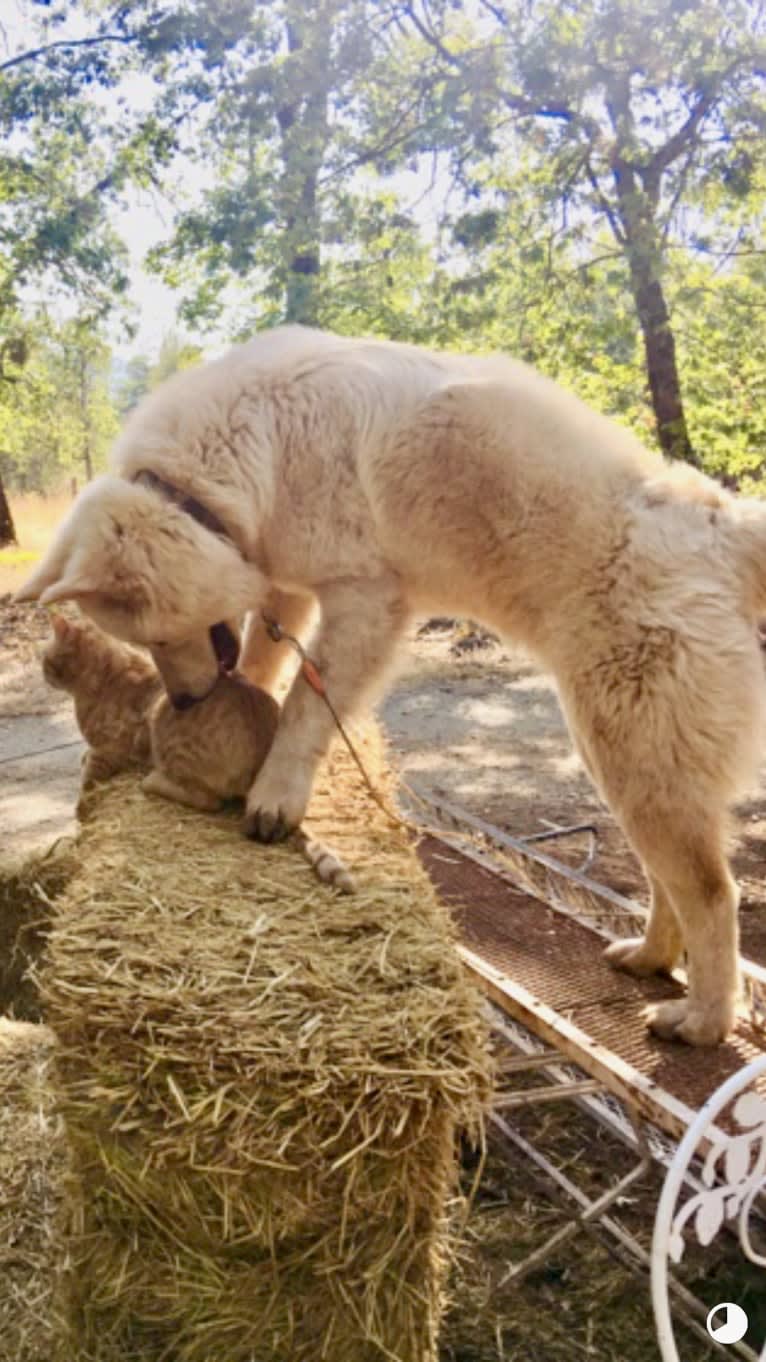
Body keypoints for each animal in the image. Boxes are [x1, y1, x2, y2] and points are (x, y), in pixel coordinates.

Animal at [14, 324, 763, 1046]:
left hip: (633, 752)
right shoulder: (288, 588)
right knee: (669, 880)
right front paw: (237, 718)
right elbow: (261, 662)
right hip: (626, 762)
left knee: (711, 893)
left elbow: (303, 709)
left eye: (161, 636)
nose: (188, 702)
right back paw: (649, 957)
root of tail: (723, 527)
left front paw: (273, 796)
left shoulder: (365, 604)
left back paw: (702, 1021)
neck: (222, 472)